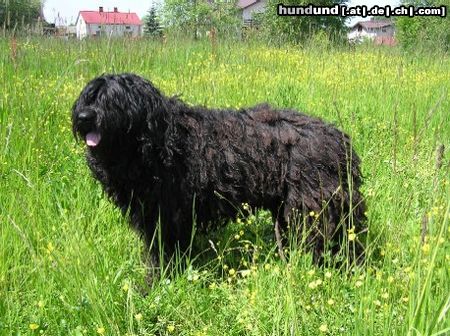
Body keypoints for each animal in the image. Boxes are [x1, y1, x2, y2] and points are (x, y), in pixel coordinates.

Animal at [71, 73, 366, 262]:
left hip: (315, 205)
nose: (84, 116)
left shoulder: (166, 215)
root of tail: (339, 139)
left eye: (114, 101)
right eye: (89, 96)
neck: (161, 140)